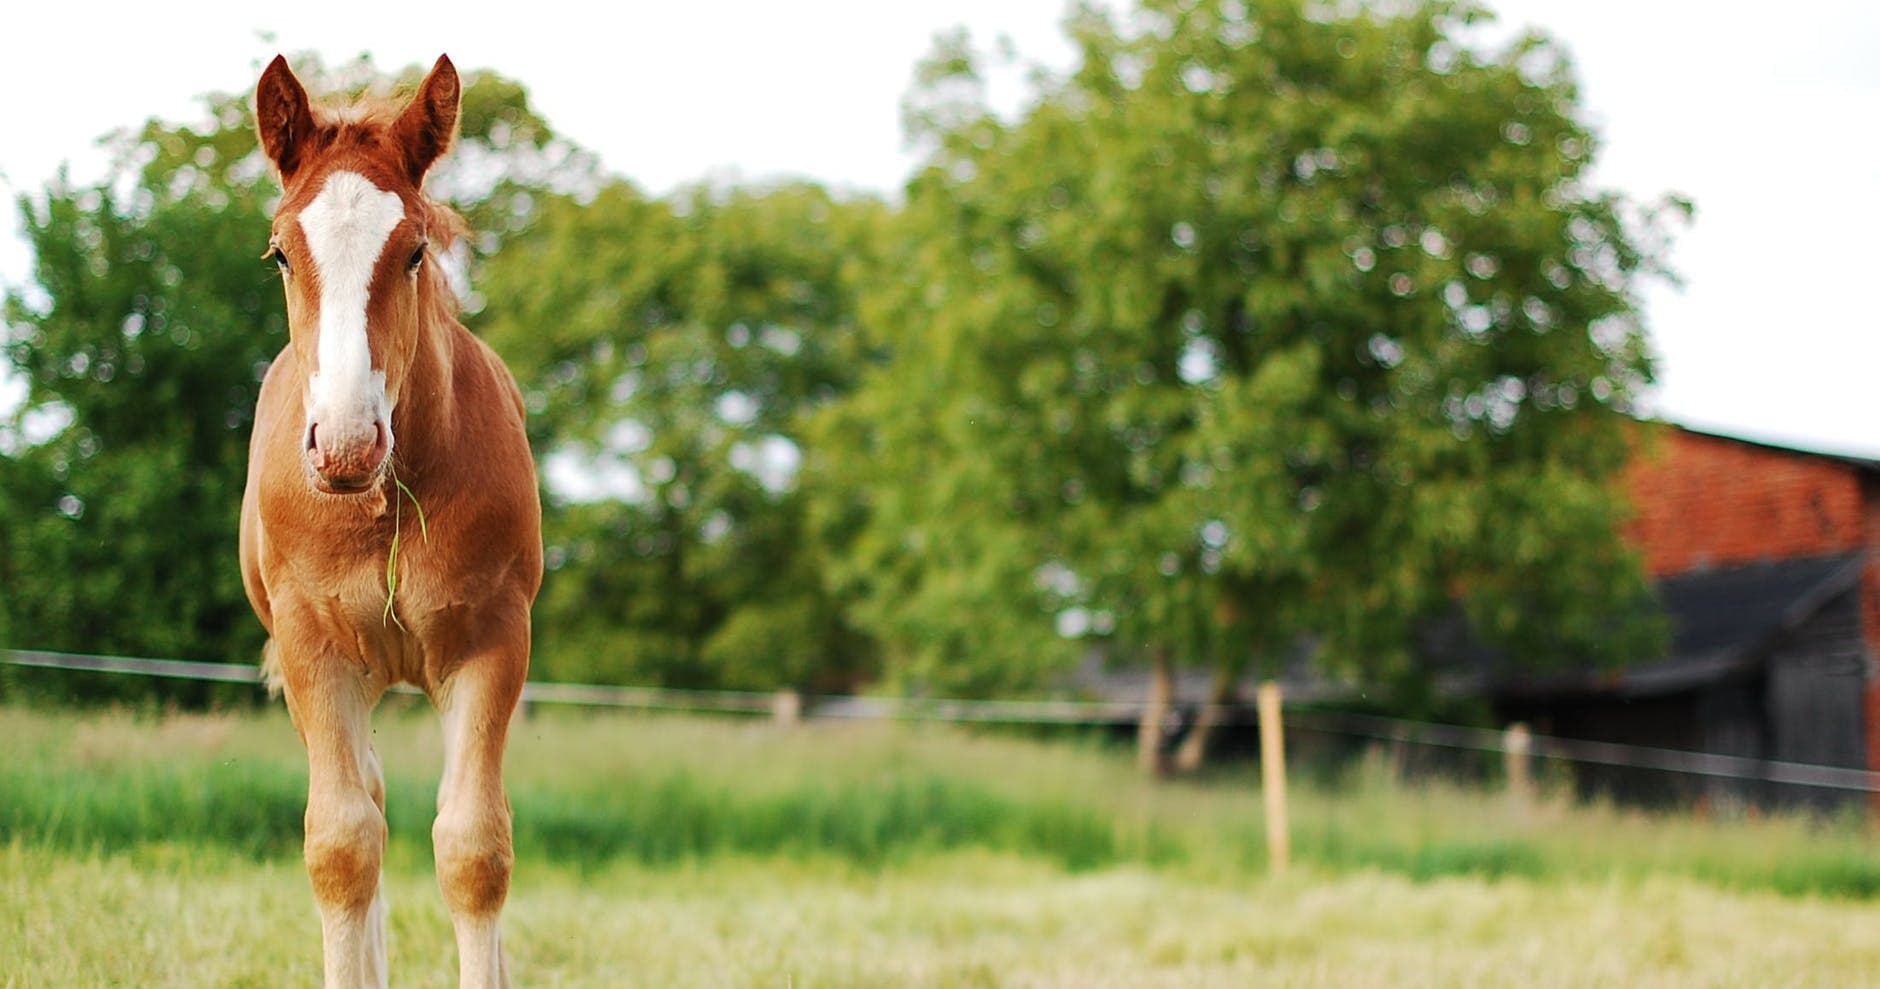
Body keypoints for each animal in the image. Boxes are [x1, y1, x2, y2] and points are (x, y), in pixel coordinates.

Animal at [240, 54, 542, 989]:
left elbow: (475, 846)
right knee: (364, 803)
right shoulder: (314, 648)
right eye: (280, 253)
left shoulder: (492, 640)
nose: (344, 442)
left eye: (413, 251)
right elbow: (342, 845)